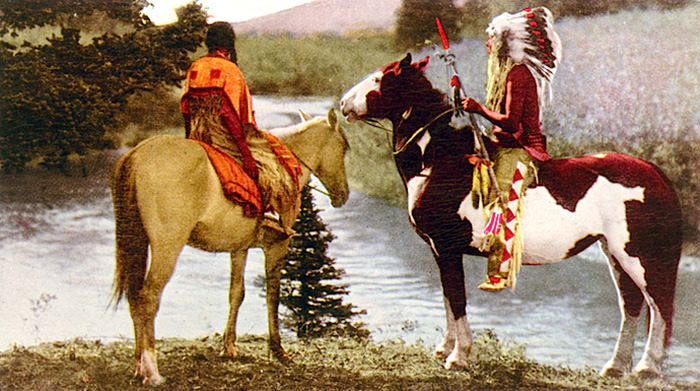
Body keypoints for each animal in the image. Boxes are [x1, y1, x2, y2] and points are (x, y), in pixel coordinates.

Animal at [111, 109, 350, 386]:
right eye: (344, 147)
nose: (343, 195)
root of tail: (137, 153)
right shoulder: (278, 246)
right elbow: (273, 295)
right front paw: (278, 350)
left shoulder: (239, 248)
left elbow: (236, 293)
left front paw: (229, 347)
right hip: (166, 249)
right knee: (148, 298)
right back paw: (152, 371)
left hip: (138, 241)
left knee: (134, 298)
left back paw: (139, 367)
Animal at [340, 53, 680, 378]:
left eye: (380, 78)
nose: (343, 103)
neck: (441, 160)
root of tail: (655, 173)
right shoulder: (440, 252)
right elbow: (448, 300)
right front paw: (444, 349)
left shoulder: (447, 250)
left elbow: (457, 301)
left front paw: (458, 356)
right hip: (613, 254)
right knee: (631, 306)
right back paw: (616, 366)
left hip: (639, 257)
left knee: (658, 306)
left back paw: (647, 367)